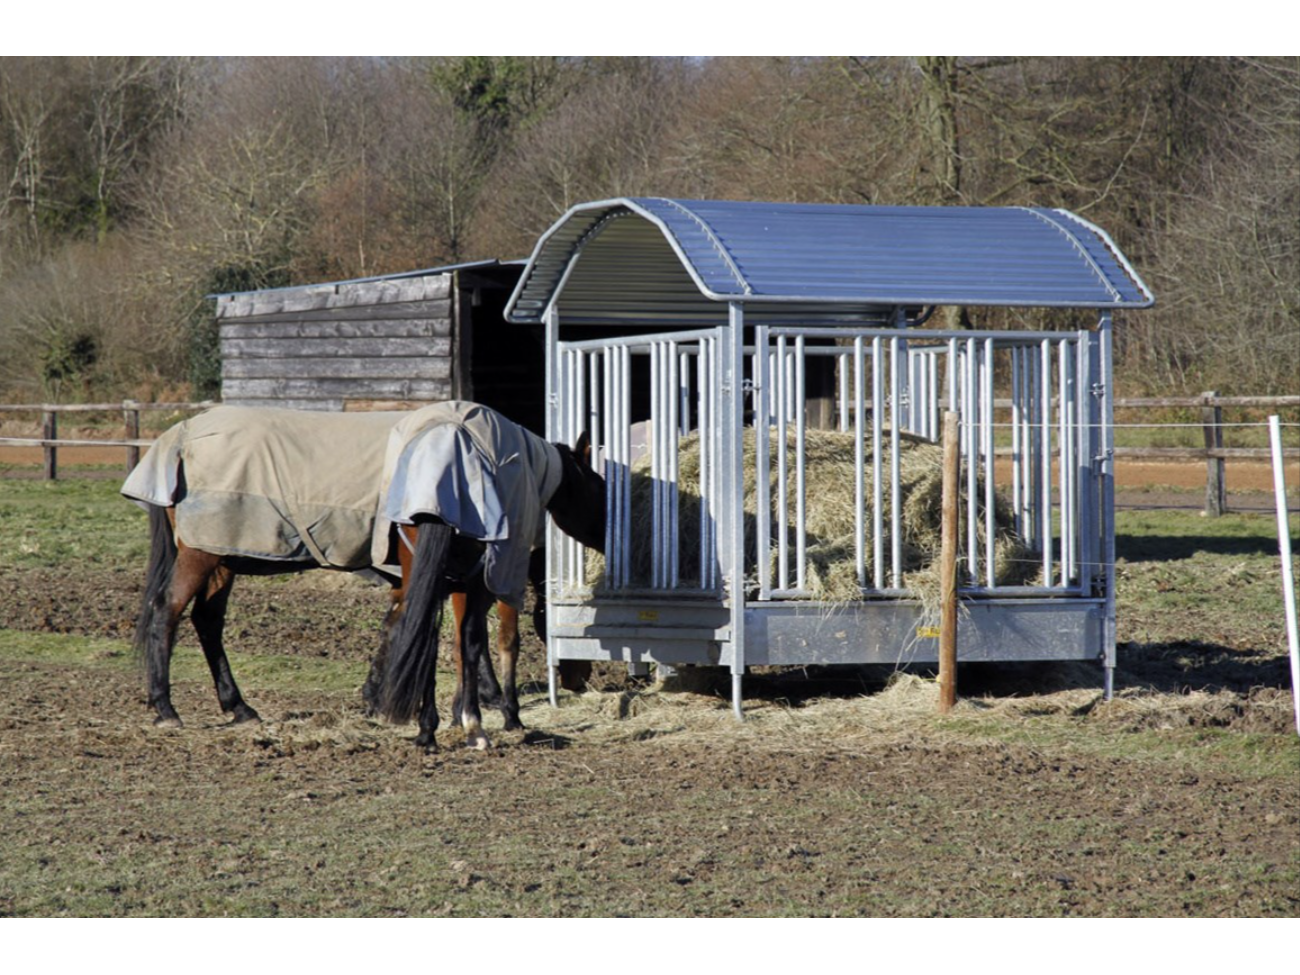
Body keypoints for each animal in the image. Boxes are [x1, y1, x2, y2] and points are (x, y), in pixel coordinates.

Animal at [125, 402, 604, 750]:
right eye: (597, 484)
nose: (579, 680)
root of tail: (178, 437)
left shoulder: (445, 581)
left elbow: (429, 638)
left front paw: (408, 706)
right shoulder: (476, 581)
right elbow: (478, 643)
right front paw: (491, 715)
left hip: (223, 558)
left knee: (207, 621)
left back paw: (239, 707)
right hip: (201, 556)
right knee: (166, 611)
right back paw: (166, 708)